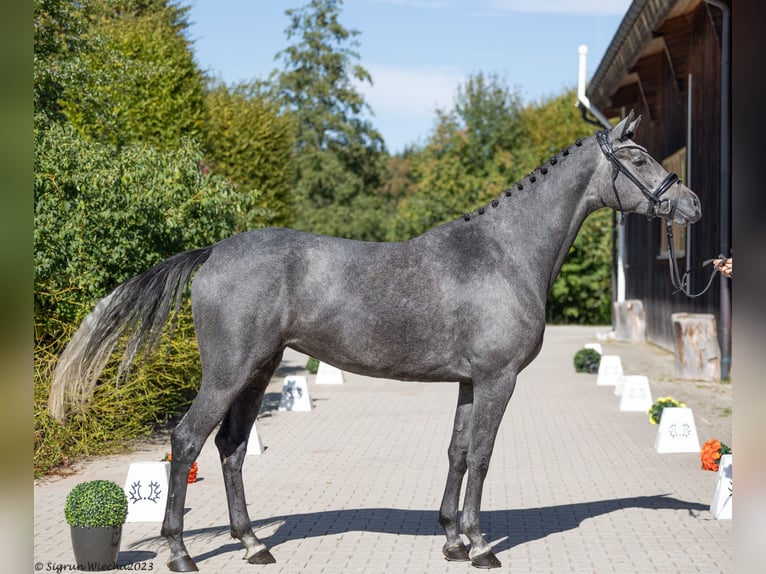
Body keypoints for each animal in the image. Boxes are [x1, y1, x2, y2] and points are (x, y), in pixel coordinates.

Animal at [49, 112, 704, 572]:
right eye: (638, 156)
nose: (691, 204)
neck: (505, 253)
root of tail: (214, 252)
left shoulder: (470, 381)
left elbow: (457, 452)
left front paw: (451, 540)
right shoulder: (498, 379)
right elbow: (483, 456)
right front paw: (481, 546)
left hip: (258, 371)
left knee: (231, 449)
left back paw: (254, 543)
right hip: (228, 373)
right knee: (186, 442)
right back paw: (182, 554)